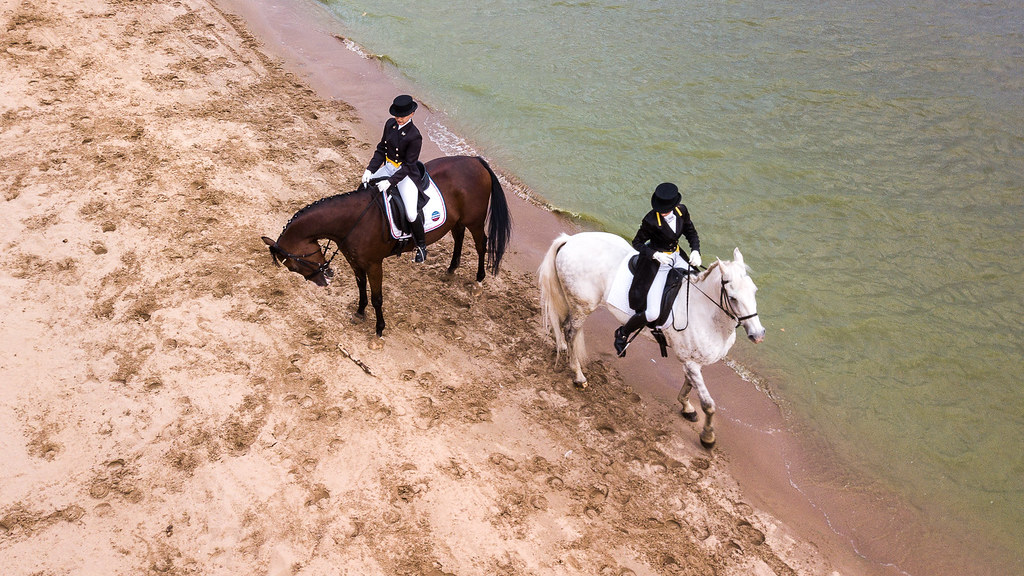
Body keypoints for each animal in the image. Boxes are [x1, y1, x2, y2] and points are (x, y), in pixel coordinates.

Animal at [261, 155, 512, 337]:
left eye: (294, 265)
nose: (324, 280)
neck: (352, 220)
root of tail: (475, 160)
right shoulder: (356, 262)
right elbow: (361, 288)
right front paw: (360, 313)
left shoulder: (374, 264)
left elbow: (377, 297)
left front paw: (379, 328)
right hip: (457, 220)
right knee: (459, 237)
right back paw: (451, 270)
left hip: (474, 220)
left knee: (481, 245)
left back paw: (478, 281)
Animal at [537, 231, 765, 447]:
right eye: (733, 298)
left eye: (754, 291)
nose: (758, 335)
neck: (703, 309)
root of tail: (570, 240)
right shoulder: (690, 362)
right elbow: (708, 405)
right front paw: (708, 437)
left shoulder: (693, 361)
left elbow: (689, 385)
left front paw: (686, 407)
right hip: (583, 306)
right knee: (571, 331)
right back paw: (578, 375)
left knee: (562, 324)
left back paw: (562, 348)